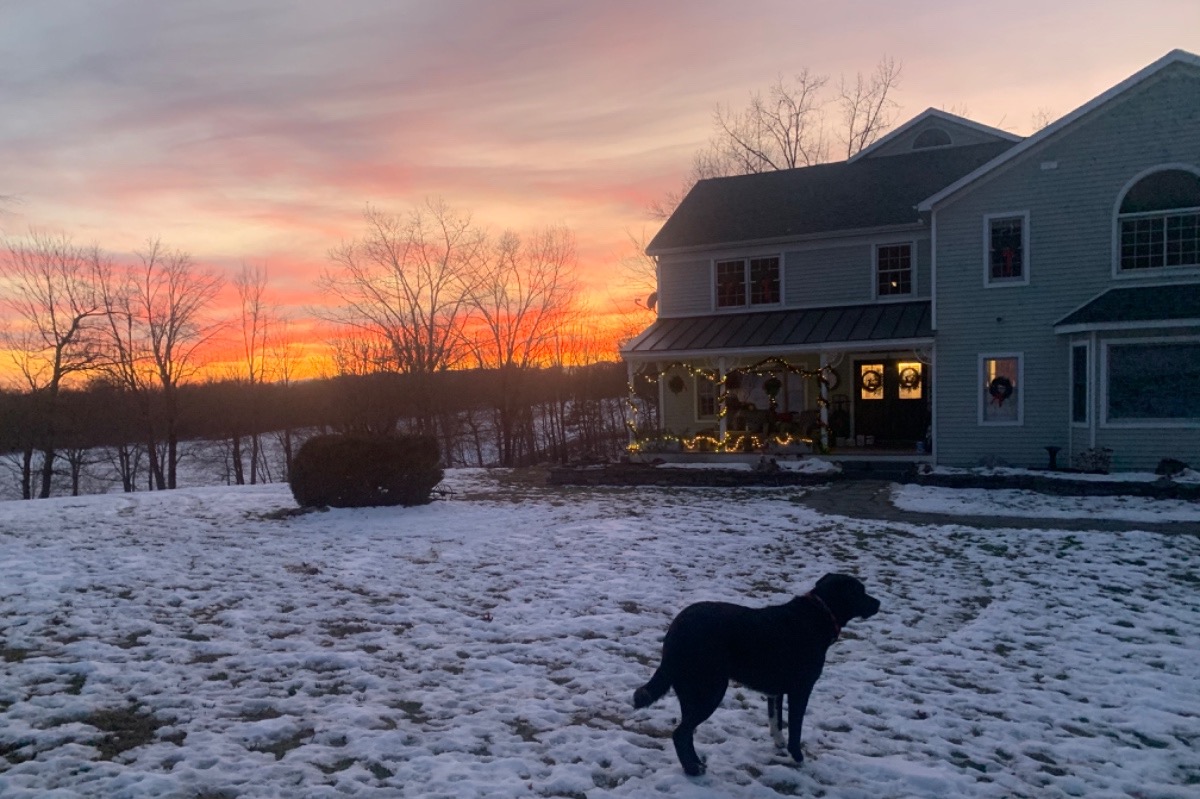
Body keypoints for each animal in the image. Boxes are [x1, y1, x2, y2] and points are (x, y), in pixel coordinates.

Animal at [632, 573, 880, 776]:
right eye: (859, 591)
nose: (879, 603)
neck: (820, 613)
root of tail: (675, 628)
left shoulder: (776, 691)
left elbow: (776, 720)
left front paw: (779, 743)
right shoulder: (801, 689)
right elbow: (795, 728)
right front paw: (798, 758)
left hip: (691, 691)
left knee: (687, 732)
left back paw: (697, 763)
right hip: (711, 690)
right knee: (680, 733)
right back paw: (692, 770)